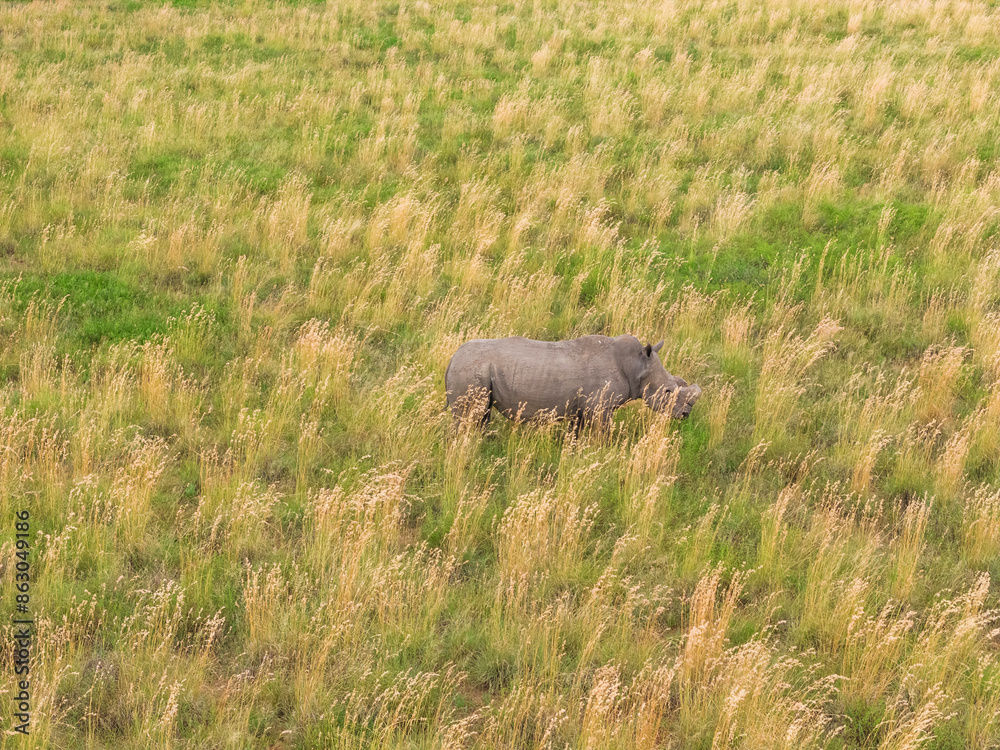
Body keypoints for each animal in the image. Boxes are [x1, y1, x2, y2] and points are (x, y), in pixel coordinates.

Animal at [445, 334, 702, 429]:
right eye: (668, 391)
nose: (686, 414)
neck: (636, 366)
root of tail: (452, 358)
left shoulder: (583, 408)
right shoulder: (600, 407)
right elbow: (603, 435)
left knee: (481, 415)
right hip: (469, 371)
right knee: (469, 417)